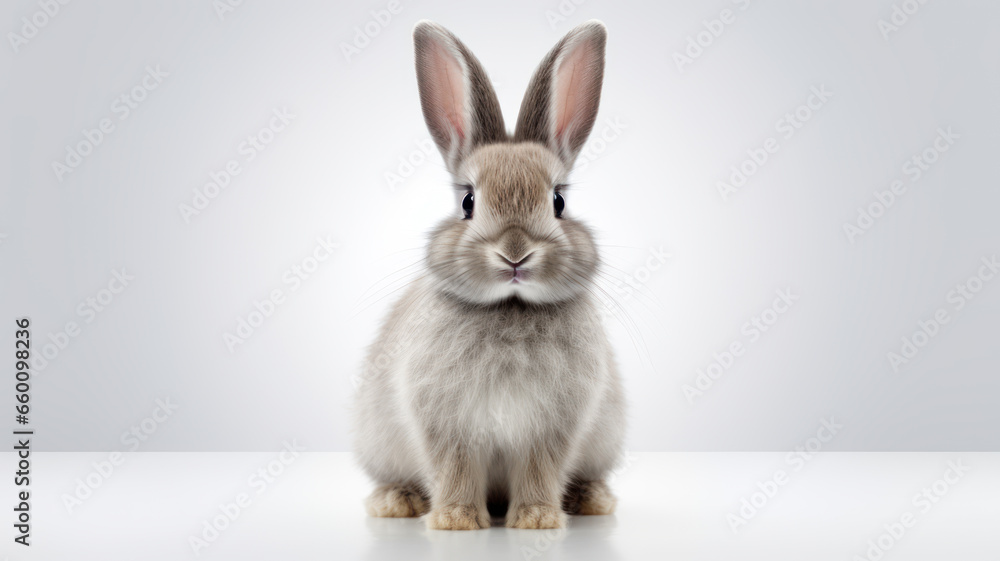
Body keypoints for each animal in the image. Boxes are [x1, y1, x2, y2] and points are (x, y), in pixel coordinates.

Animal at [352, 19, 626, 531]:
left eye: (558, 201)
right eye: (467, 201)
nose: (514, 254)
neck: (509, 308)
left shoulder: (552, 428)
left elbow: (540, 470)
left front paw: (537, 520)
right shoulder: (445, 424)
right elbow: (455, 468)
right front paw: (456, 520)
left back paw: (592, 500)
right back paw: (396, 503)